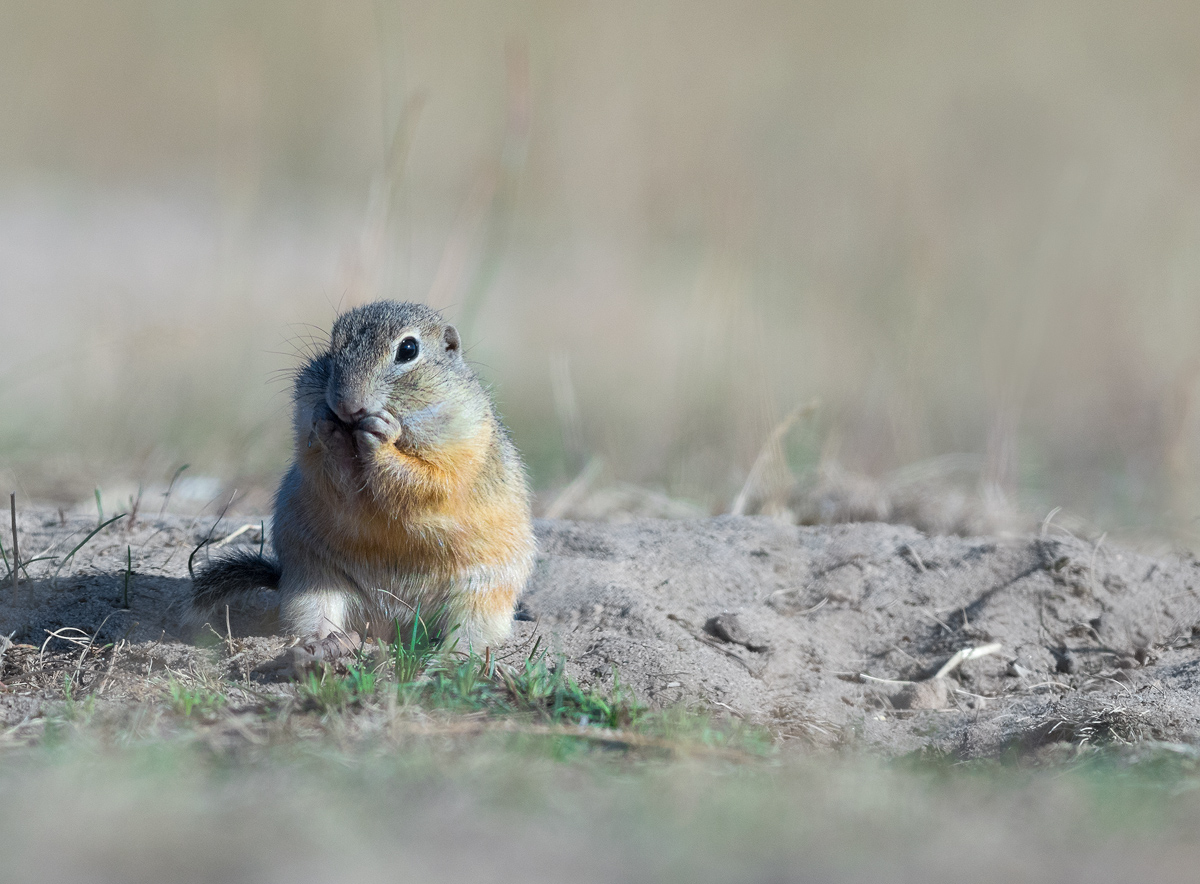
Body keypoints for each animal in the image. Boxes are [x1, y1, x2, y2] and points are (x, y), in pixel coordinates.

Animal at [190, 299, 535, 657]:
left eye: (408, 349)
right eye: (332, 347)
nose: (347, 405)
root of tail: (392, 626)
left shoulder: (462, 444)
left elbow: (432, 481)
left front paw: (380, 435)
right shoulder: (307, 434)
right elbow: (328, 475)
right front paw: (333, 431)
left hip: (484, 596)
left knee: (469, 634)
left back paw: (448, 656)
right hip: (311, 582)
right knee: (317, 619)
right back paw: (328, 644)